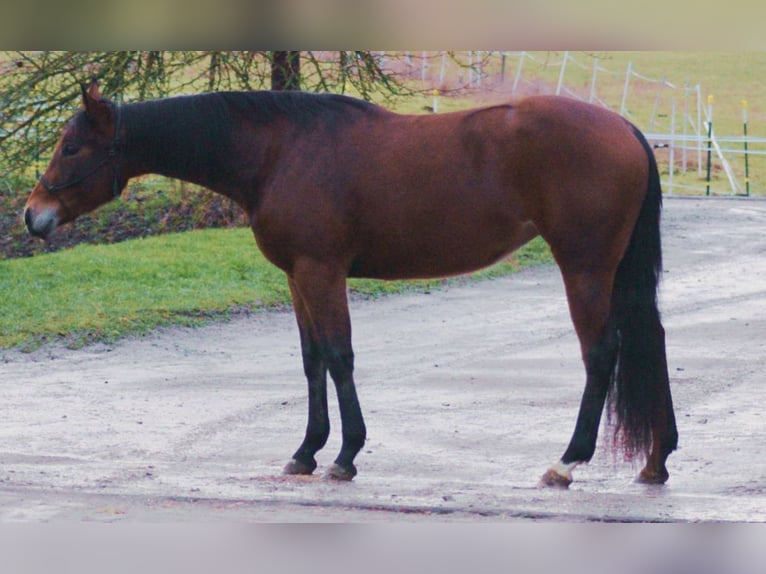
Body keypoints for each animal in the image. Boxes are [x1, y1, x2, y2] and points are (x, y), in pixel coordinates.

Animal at [24, 80, 678, 487]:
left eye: (72, 147)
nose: (32, 216)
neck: (281, 150)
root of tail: (624, 127)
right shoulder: (297, 276)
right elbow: (312, 360)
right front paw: (305, 452)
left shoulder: (322, 269)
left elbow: (339, 357)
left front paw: (345, 454)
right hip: (614, 271)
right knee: (648, 344)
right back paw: (656, 461)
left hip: (585, 268)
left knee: (601, 354)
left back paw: (567, 463)